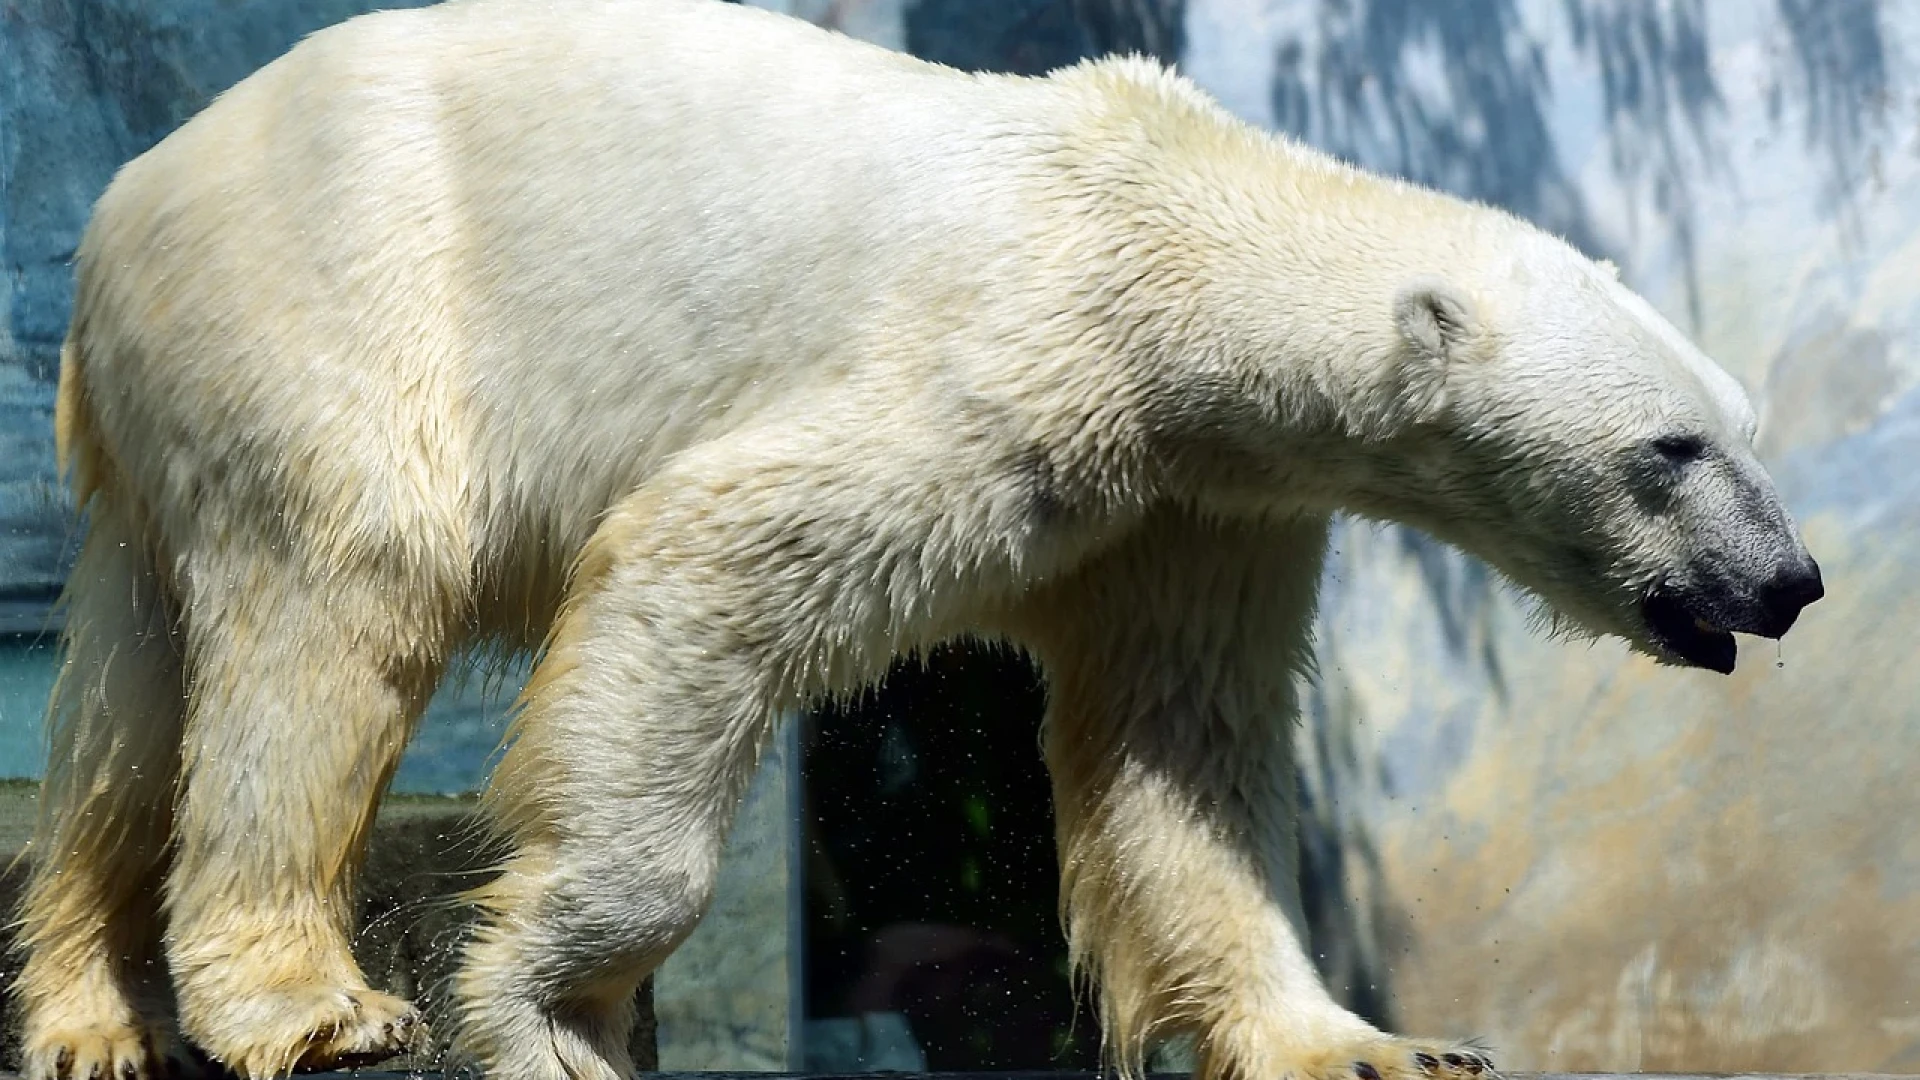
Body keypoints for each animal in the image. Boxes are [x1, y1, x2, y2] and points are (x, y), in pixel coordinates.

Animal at [18, 0, 1827, 1068]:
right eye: (1669, 451)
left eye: (1749, 429)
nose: (1791, 583)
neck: (1160, 234)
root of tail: (115, 213)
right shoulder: (1010, 373)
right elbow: (708, 560)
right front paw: (546, 998)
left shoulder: (1197, 506)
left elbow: (1176, 752)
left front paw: (1368, 1038)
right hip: (339, 294)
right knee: (334, 609)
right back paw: (307, 1002)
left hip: (184, 407)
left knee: (133, 703)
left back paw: (91, 1007)